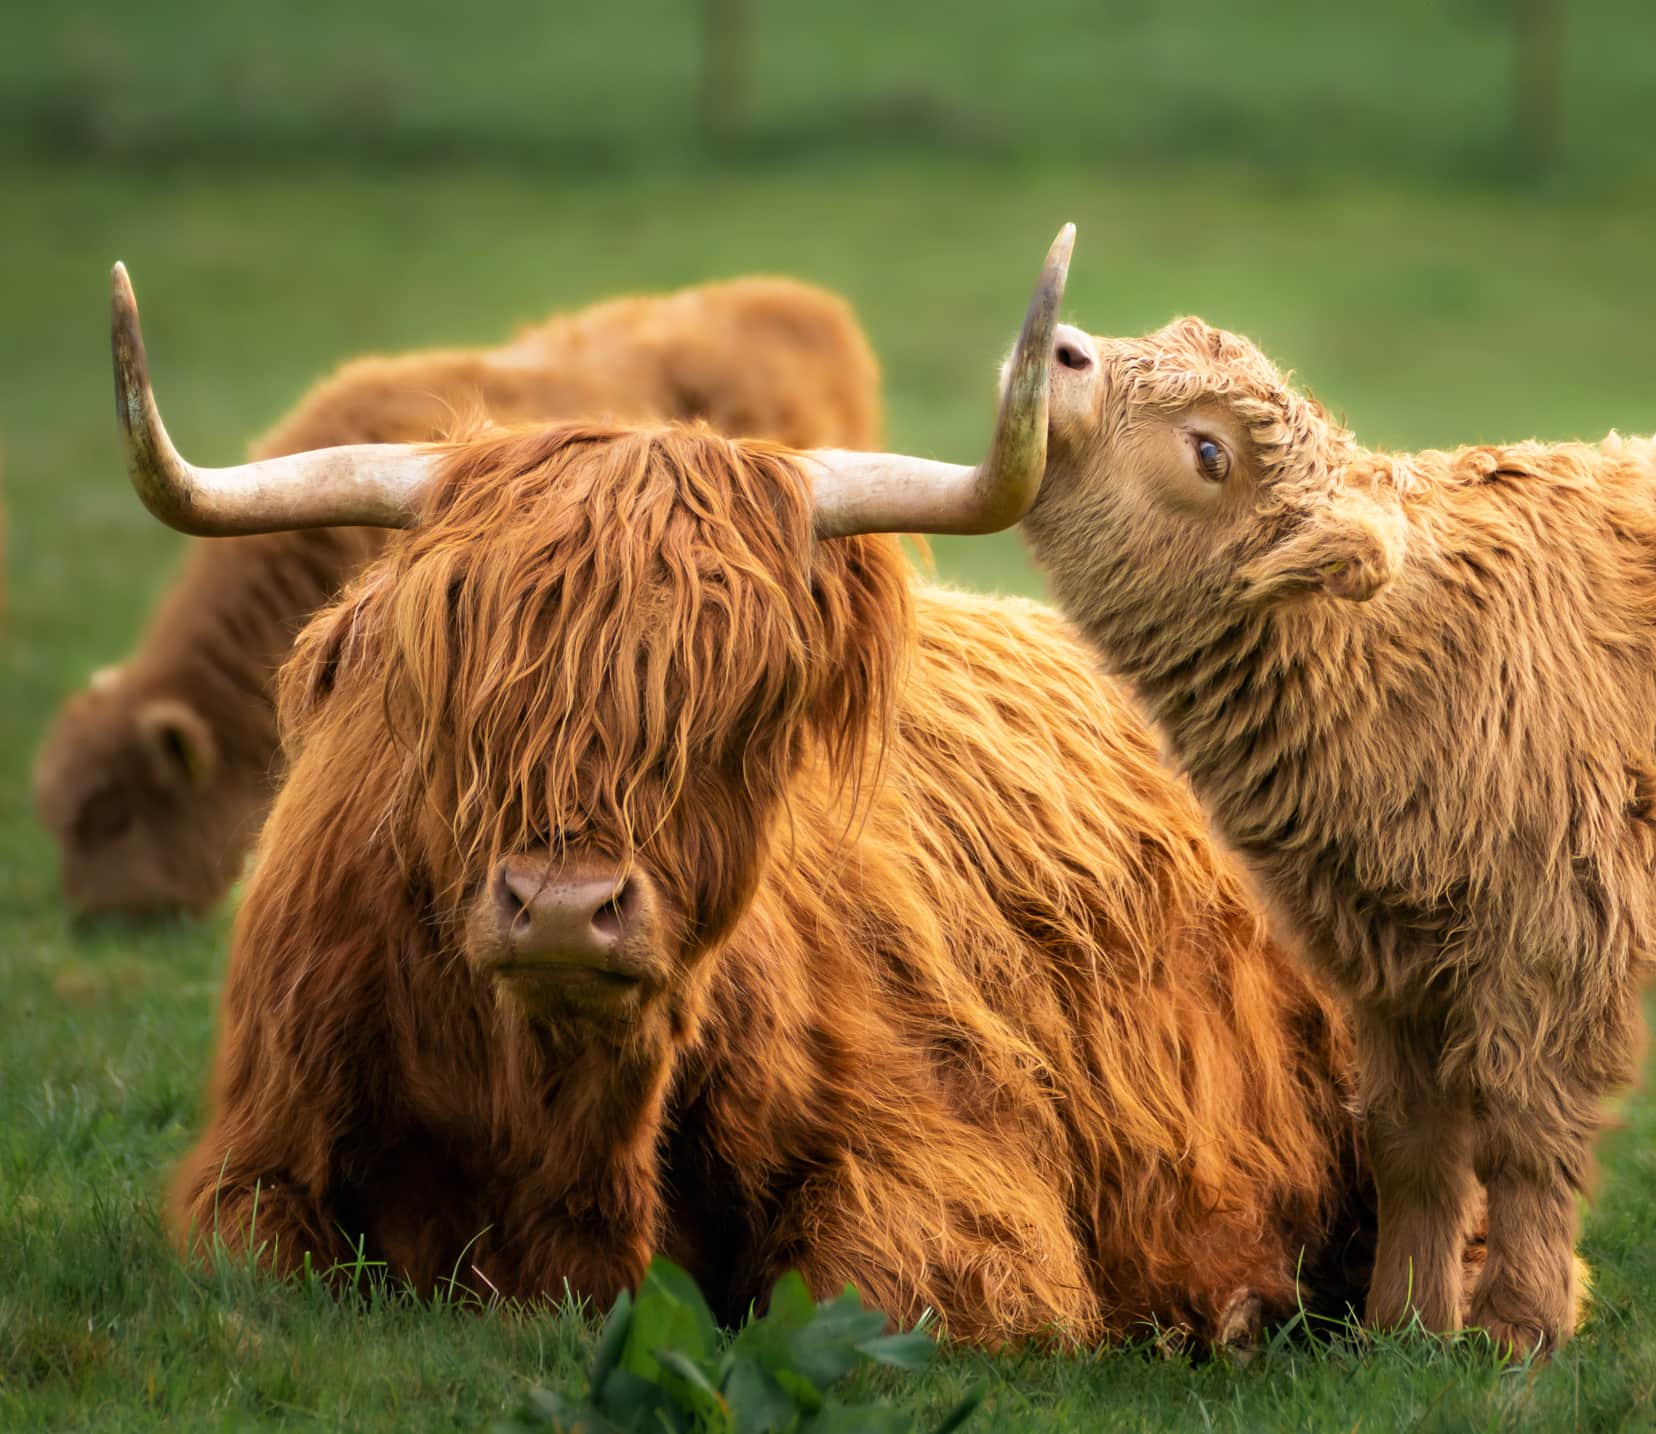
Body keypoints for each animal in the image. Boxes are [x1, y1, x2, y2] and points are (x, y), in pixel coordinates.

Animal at [120, 231, 1384, 1337]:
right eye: (454, 669)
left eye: (750, 698)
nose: (565, 910)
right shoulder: (255, 1153)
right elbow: (260, 1265)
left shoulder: (948, 1173)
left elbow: (854, 1302)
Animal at [1013, 309, 1649, 1351]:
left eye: (1209, 451)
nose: (1063, 346)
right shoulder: (1384, 956)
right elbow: (1412, 1137)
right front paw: (1406, 1324)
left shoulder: (1554, 935)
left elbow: (1526, 1133)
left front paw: (1518, 1328)